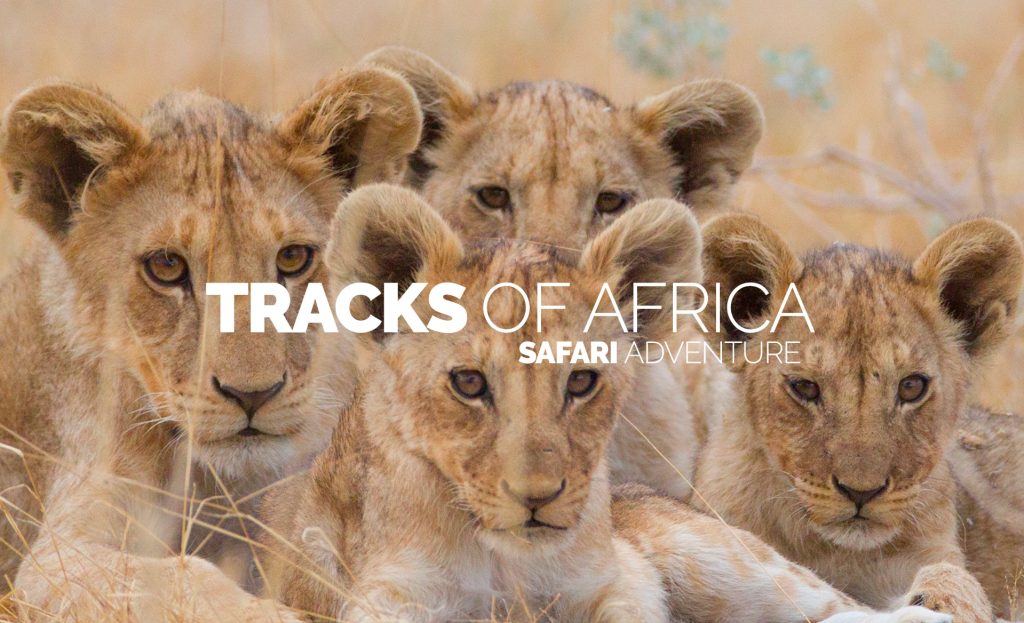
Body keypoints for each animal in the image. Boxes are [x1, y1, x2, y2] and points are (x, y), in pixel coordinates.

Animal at [0, 68, 421, 621]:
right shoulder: (54, 559)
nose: (252, 395)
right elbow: (177, 577)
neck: (220, 486)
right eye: (166, 266)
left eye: (293, 258)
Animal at [258, 183, 950, 623]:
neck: (500, 558)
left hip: (720, 556)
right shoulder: (388, 594)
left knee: (851, 610)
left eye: (581, 382)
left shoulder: (618, 577)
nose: (538, 499)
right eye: (469, 384)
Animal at [692, 213, 1024, 621]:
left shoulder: (928, 552)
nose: (861, 492)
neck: (835, 552)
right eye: (805, 387)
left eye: (911, 386)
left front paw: (941, 601)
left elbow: (953, 576)